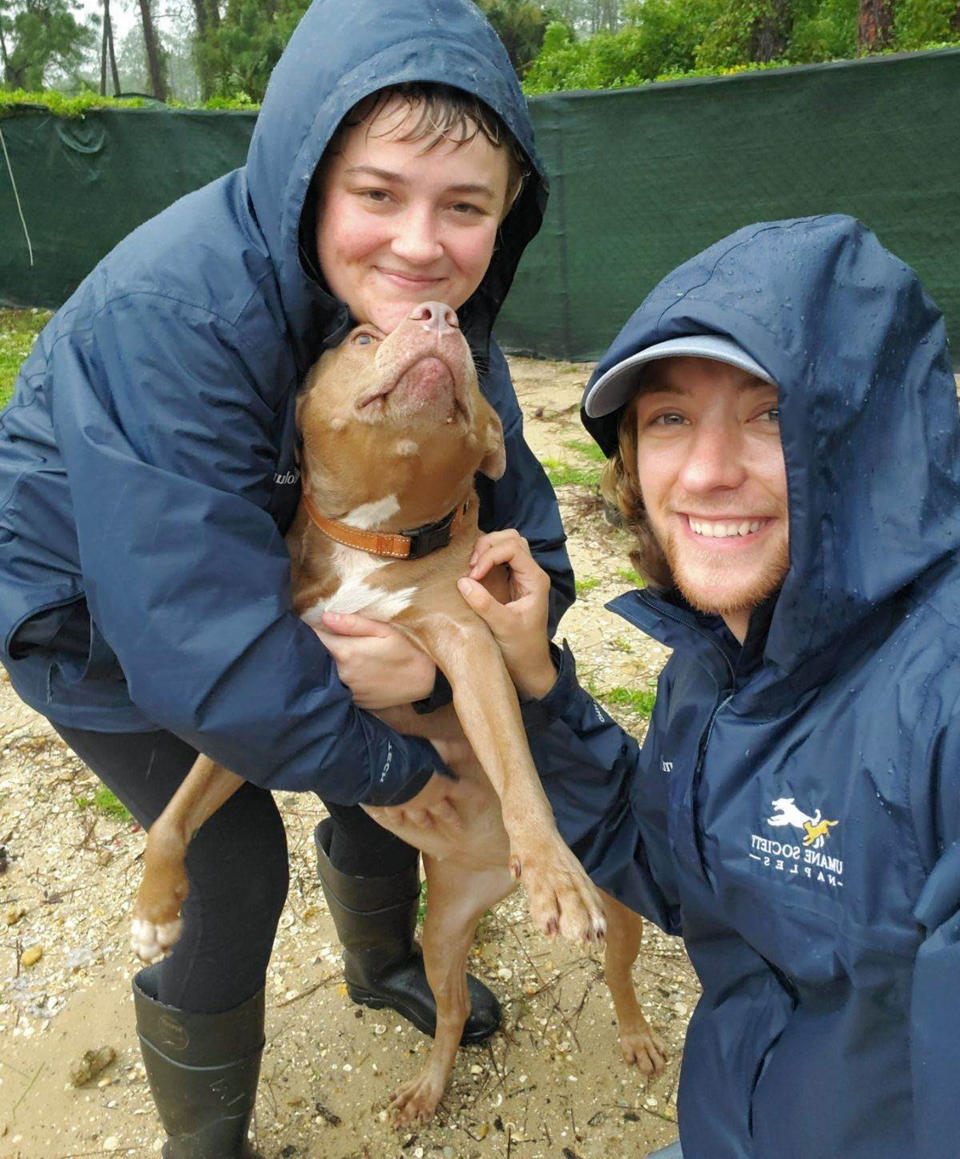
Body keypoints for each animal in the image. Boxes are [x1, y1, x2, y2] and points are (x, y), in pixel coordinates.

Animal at [131, 301, 663, 1121]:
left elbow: (519, 773)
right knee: (450, 1007)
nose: (440, 313)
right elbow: (175, 812)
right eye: (359, 336)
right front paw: (156, 910)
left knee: (619, 970)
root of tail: (493, 874)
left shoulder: (472, 650)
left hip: (620, 905)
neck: (376, 539)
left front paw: (554, 871)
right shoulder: (266, 695)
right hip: (443, 928)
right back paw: (430, 1087)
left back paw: (630, 1025)